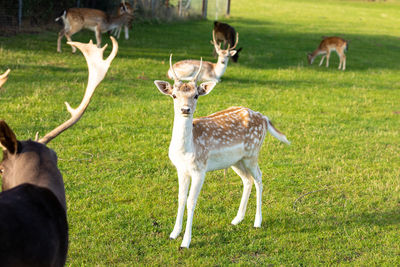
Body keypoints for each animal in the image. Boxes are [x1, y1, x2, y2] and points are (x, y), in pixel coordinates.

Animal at [155, 54, 290, 249]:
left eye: (196, 95)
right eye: (174, 95)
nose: (185, 109)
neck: (187, 150)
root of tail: (263, 117)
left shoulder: (200, 169)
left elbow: (191, 202)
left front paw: (186, 242)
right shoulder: (181, 169)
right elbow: (181, 198)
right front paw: (174, 234)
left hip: (252, 154)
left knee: (259, 177)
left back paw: (257, 221)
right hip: (236, 161)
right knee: (247, 180)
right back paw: (237, 219)